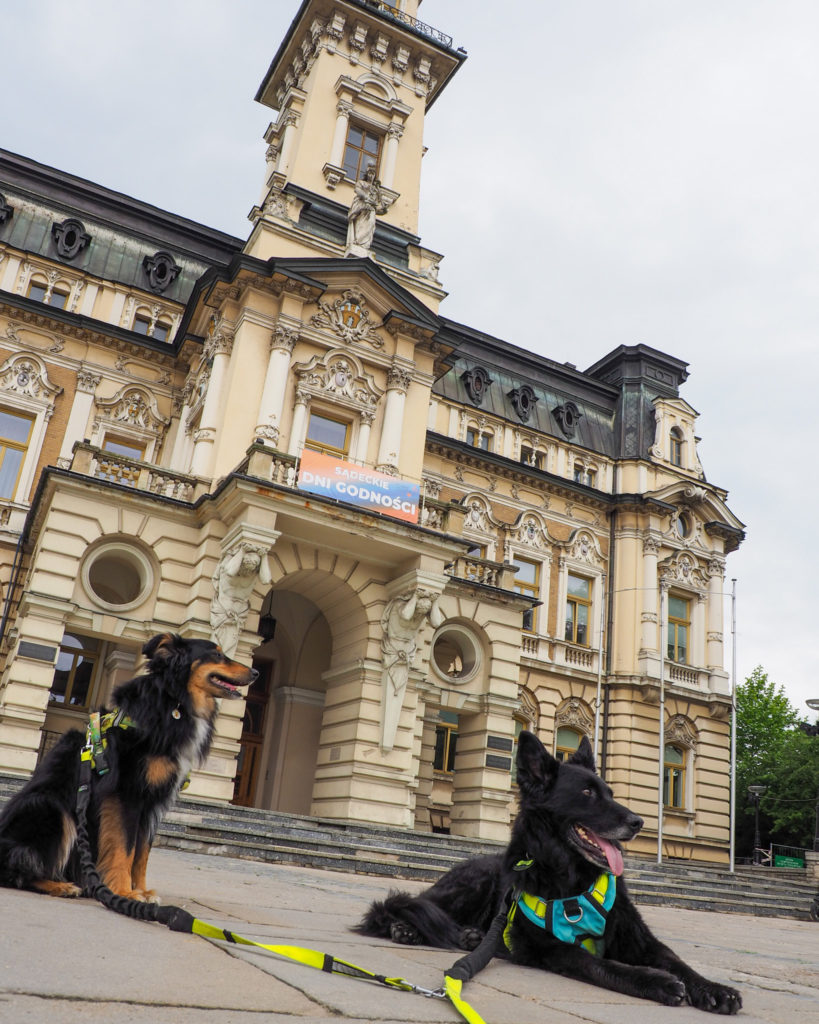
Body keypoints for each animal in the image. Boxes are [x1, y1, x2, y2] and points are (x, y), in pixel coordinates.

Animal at [0, 630, 255, 905]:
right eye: (216, 654)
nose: (256, 673)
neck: (174, 700)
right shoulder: (126, 794)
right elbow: (125, 847)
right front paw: (125, 892)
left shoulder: (151, 803)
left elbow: (142, 852)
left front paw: (141, 890)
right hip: (51, 808)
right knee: (16, 869)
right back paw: (60, 886)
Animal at [356, 733, 741, 1011]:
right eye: (587, 792)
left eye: (610, 793)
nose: (638, 822)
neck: (573, 880)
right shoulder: (552, 948)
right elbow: (600, 965)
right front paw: (657, 982)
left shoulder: (640, 940)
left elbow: (677, 961)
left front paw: (714, 989)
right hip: (473, 884)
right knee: (404, 908)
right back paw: (406, 930)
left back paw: (471, 937)